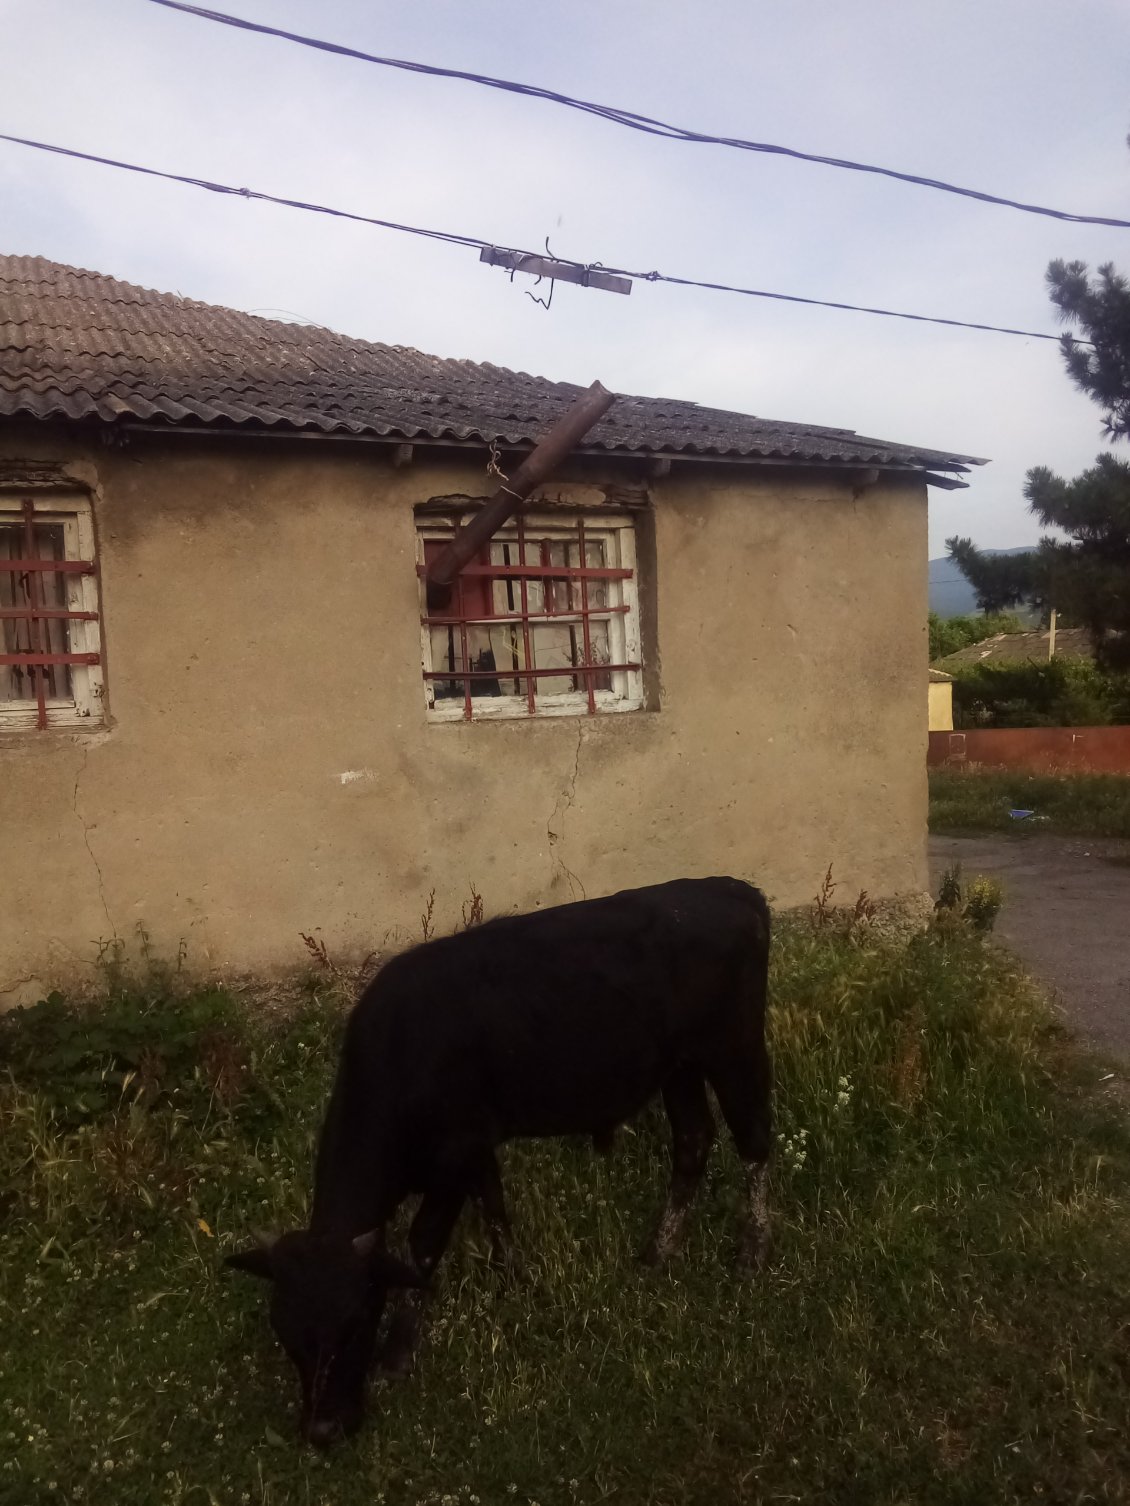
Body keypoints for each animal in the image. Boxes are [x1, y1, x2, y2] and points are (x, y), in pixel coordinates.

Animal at [230, 879, 777, 1439]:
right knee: (693, 1142)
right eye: (285, 1334)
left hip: (734, 1051)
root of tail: (726, 888)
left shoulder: (452, 1158)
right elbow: (494, 1207)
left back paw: (753, 1251)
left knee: (755, 1141)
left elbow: (422, 1246)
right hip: (680, 1068)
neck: (402, 1055)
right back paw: (657, 1253)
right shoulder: (477, 1149)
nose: (323, 1430)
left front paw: (399, 1352)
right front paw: (516, 1280)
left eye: (357, 1322)